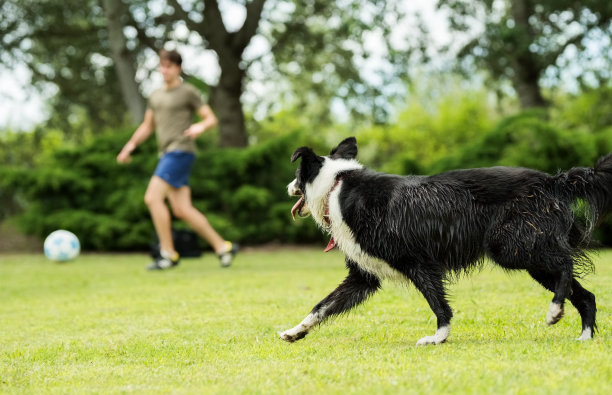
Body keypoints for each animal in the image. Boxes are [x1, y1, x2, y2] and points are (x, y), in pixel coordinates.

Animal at [278, 138, 612, 344]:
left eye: (297, 176)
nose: (288, 187)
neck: (336, 187)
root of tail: (553, 181)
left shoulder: (418, 262)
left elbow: (438, 303)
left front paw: (438, 337)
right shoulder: (364, 277)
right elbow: (322, 306)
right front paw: (295, 331)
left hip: (511, 246)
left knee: (565, 263)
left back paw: (555, 309)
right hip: (528, 251)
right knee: (585, 294)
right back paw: (583, 336)